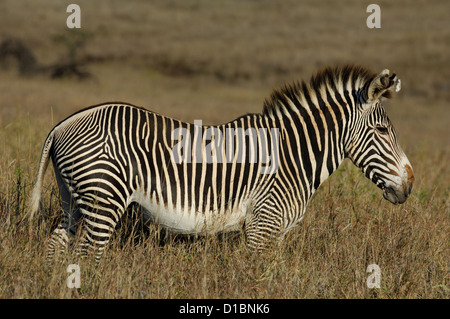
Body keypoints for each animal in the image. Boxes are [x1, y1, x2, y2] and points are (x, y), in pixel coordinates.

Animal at [28, 64, 414, 260]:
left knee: (56, 246)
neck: (293, 156)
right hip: (103, 198)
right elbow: (258, 279)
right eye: (382, 130)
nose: (410, 184)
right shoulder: (262, 226)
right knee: (88, 254)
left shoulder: (273, 233)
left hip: (74, 200)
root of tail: (64, 124)